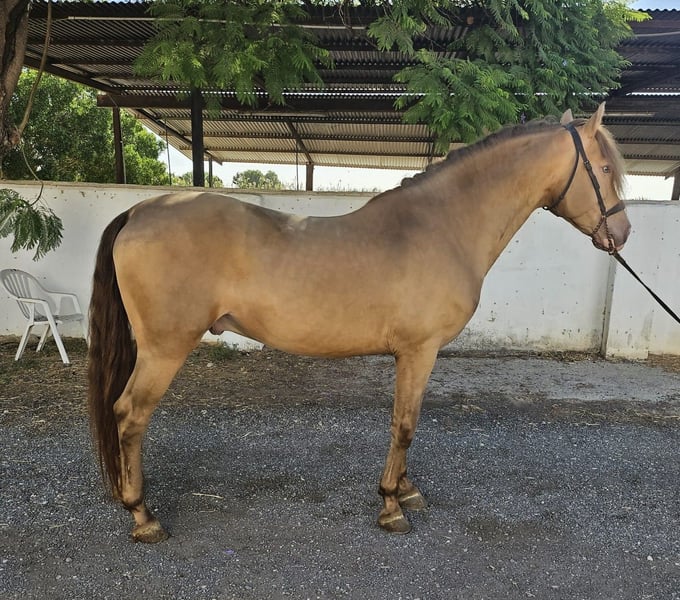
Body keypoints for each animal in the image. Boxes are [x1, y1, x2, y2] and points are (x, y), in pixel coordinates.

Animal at [88, 103, 630, 543]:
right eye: (604, 168)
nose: (622, 233)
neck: (443, 226)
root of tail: (139, 210)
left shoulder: (415, 354)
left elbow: (407, 420)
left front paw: (406, 490)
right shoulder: (419, 350)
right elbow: (404, 424)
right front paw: (392, 505)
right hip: (164, 348)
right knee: (129, 415)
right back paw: (143, 516)